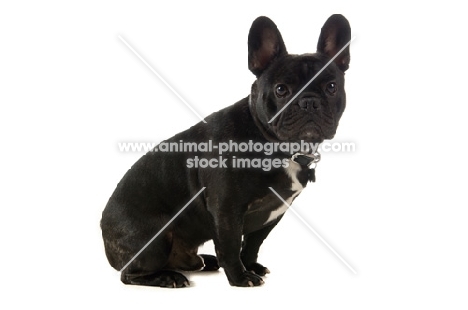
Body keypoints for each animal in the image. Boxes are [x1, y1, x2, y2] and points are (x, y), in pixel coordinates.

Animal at [102, 13, 352, 286]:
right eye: (281, 89)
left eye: (331, 87)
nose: (309, 102)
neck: (277, 146)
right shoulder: (227, 210)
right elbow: (230, 246)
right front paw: (240, 277)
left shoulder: (272, 213)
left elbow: (252, 244)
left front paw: (251, 266)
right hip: (155, 241)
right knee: (130, 274)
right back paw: (168, 278)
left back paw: (202, 261)